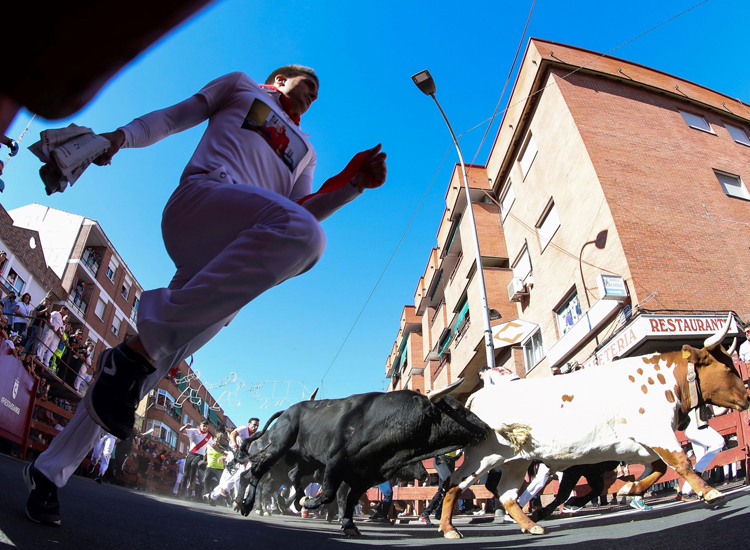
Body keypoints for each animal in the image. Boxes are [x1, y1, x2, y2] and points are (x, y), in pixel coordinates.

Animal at [238, 388, 490, 536]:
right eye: (456, 409)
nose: (486, 427)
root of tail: (287, 411)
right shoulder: (336, 463)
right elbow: (329, 494)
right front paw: (311, 503)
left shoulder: (367, 476)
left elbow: (350, 500)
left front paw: (349, 525)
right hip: (279, 447)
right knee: (257, 472)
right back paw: (249, 505)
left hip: (302, 461)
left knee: (281, 477)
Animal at [440, 314, 750, 540]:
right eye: (727, 368)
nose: (746, 397)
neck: (664, 379)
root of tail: (477, 397)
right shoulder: (657, 432)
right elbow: (681, 462)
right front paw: (709, 492)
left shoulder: (638, 444)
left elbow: (660, 469)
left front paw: (630, 490)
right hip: (484, 455)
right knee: (454, 484)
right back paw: (449, 528)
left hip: (517, 460)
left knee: (506, 494)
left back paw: (531, 524)